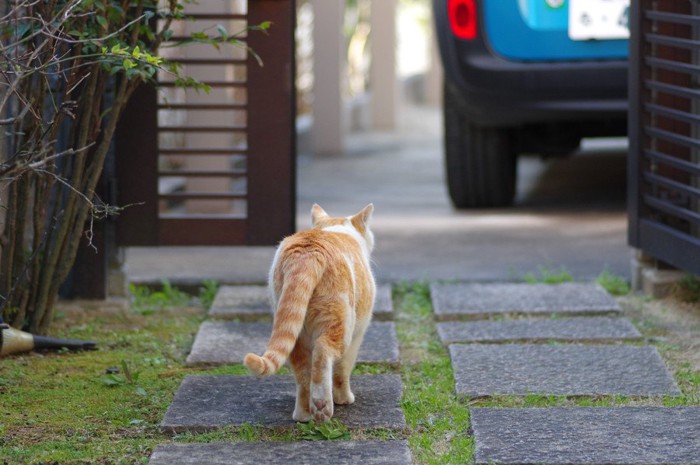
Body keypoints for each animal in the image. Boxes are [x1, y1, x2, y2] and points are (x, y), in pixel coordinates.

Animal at [246, 203, 378, 420]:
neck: (334, 228)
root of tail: (307, 252)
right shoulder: (357, 336)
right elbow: (342, 371)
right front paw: (344, 399)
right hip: (340, 325)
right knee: (322, 354)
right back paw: (322, 406)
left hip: (295, 329)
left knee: (302, 373)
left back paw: (303, 415)